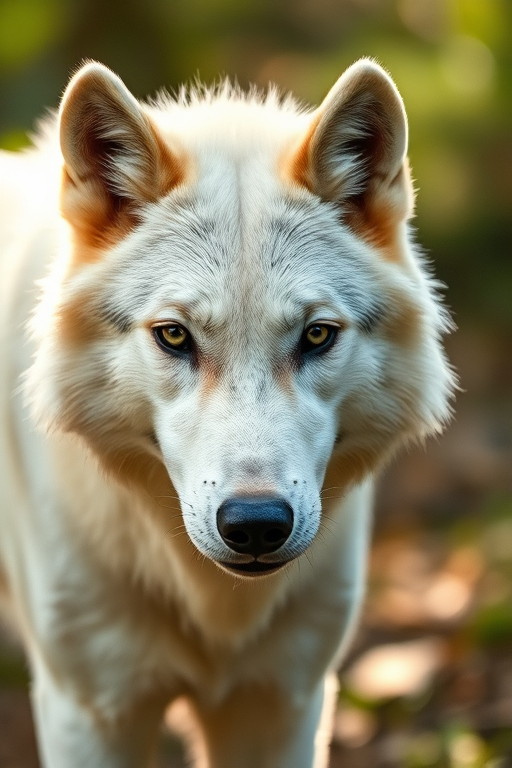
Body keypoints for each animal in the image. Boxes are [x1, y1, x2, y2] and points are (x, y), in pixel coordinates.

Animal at [0, 59, 454, 767]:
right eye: (174, 336)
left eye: (316, 336)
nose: (257, 524)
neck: (213, 604)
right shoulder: (91, 710)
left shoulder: (280, 702)